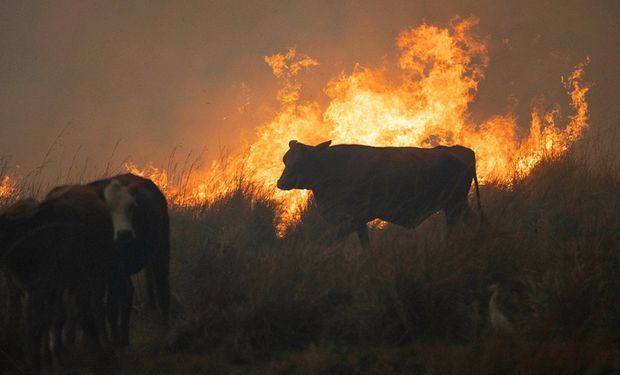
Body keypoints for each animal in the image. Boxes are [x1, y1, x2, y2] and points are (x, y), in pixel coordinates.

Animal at [278, 140, 484, 248]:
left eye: (302, 161)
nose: (281, 182)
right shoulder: (356, 223)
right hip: (457, 205)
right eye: (286, 160)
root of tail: (460, 150)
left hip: (454, 204)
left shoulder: (352, 220)